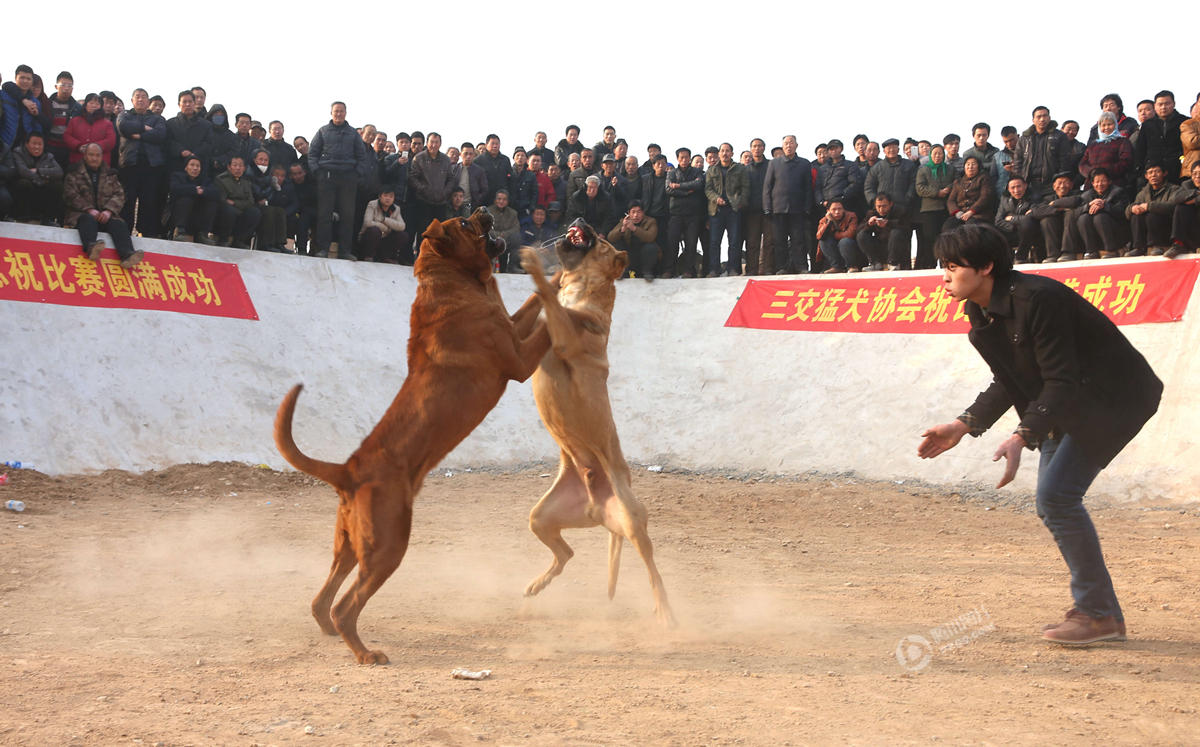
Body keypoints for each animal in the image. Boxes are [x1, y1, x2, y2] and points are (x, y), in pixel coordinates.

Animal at [273, 207, 549, 662]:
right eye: (466, 224)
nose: (485, 211)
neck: (460, 282)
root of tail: (347, 470)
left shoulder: (512, 325)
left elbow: (532, 303)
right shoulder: (519, 361)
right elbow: (547, 316)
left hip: (350, 545)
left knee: (322, 599)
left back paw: (332, 633)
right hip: (389, 544)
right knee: (346, 606)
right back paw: (367, 654)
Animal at [520, 220, 676, 624]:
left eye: (603, 240)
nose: (580, 221)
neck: (582, 292)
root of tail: (596, 509)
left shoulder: (567, 337)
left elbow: (550, 301)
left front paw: (535, 267)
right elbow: (540, 304)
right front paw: (547, 274)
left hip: (633, 522)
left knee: (653, 570)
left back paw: (665, 611)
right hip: (540, 517)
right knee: (566, 554)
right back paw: (536, 585)